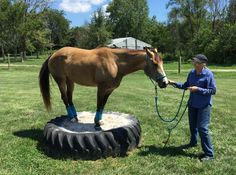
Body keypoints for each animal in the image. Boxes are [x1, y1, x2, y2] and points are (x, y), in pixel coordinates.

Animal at [38, 46, 168, 129]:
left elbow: (103, 104)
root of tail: (53, 54)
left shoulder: (109, 90)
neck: (115, 62)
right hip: (61, 81)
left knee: (69, 98)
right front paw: (96, 123)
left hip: (70, 81)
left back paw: (75, 117)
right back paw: (71, 117)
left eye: (161, 63)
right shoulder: (101, 88)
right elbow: (99, 104)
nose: (165, 82)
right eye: (154, 63)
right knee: (64, 97)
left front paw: (100, 121)